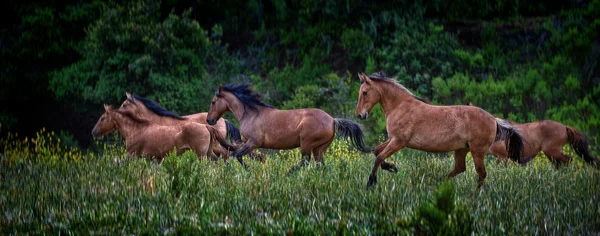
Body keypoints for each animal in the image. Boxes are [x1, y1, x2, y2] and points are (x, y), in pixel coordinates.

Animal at [91, 104, 237, 161]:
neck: (135, 129)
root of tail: (207, 126)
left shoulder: (130, 155)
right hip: (209, 152)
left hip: (201, 155)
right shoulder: (153, 159)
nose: (94, 132)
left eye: (102, 118)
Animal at [206, 84, 376, 172]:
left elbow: (238, 155)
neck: (251, 114)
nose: (209, 119)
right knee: (320, 165)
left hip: (307, 144)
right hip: (319, 148)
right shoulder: (247, 143)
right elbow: (243, 154)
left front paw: (249, 170)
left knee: (305, 161)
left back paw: (288, 173)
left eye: (213, 102)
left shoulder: (253, 142)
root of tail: (333, 120)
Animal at [356, 72, 524, 188]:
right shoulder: (393, 139)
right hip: (462, 149)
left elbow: (379, 157)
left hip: (477, 151)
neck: (400, 106)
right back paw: (441, 186)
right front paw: (391, 167)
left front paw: (371, 183)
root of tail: (493, 119)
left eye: (365, 92)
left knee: (481, 174)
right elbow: (377, 151)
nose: (360, 115)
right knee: (460, 168)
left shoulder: (399, 141)